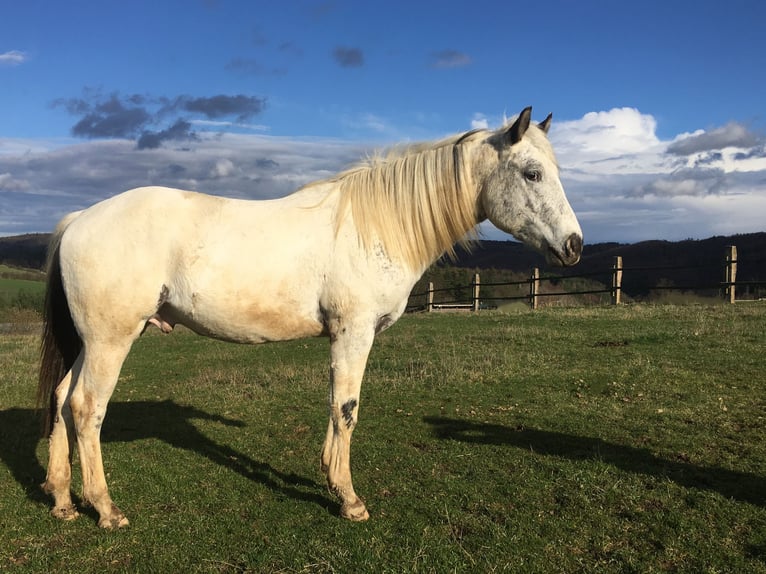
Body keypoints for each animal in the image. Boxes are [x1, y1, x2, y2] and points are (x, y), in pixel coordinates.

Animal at [36, 107, 584, 532]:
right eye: (532, 173)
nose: (574, 245)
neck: (374, 225)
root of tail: (81, 219)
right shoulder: (353, 332)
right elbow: (346, 408)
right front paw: (349, 499)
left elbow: (337, 407)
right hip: (111, 341)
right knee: (87, 408)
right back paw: (106, 510)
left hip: (90, 342)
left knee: (61, 399)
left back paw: (63, 501)